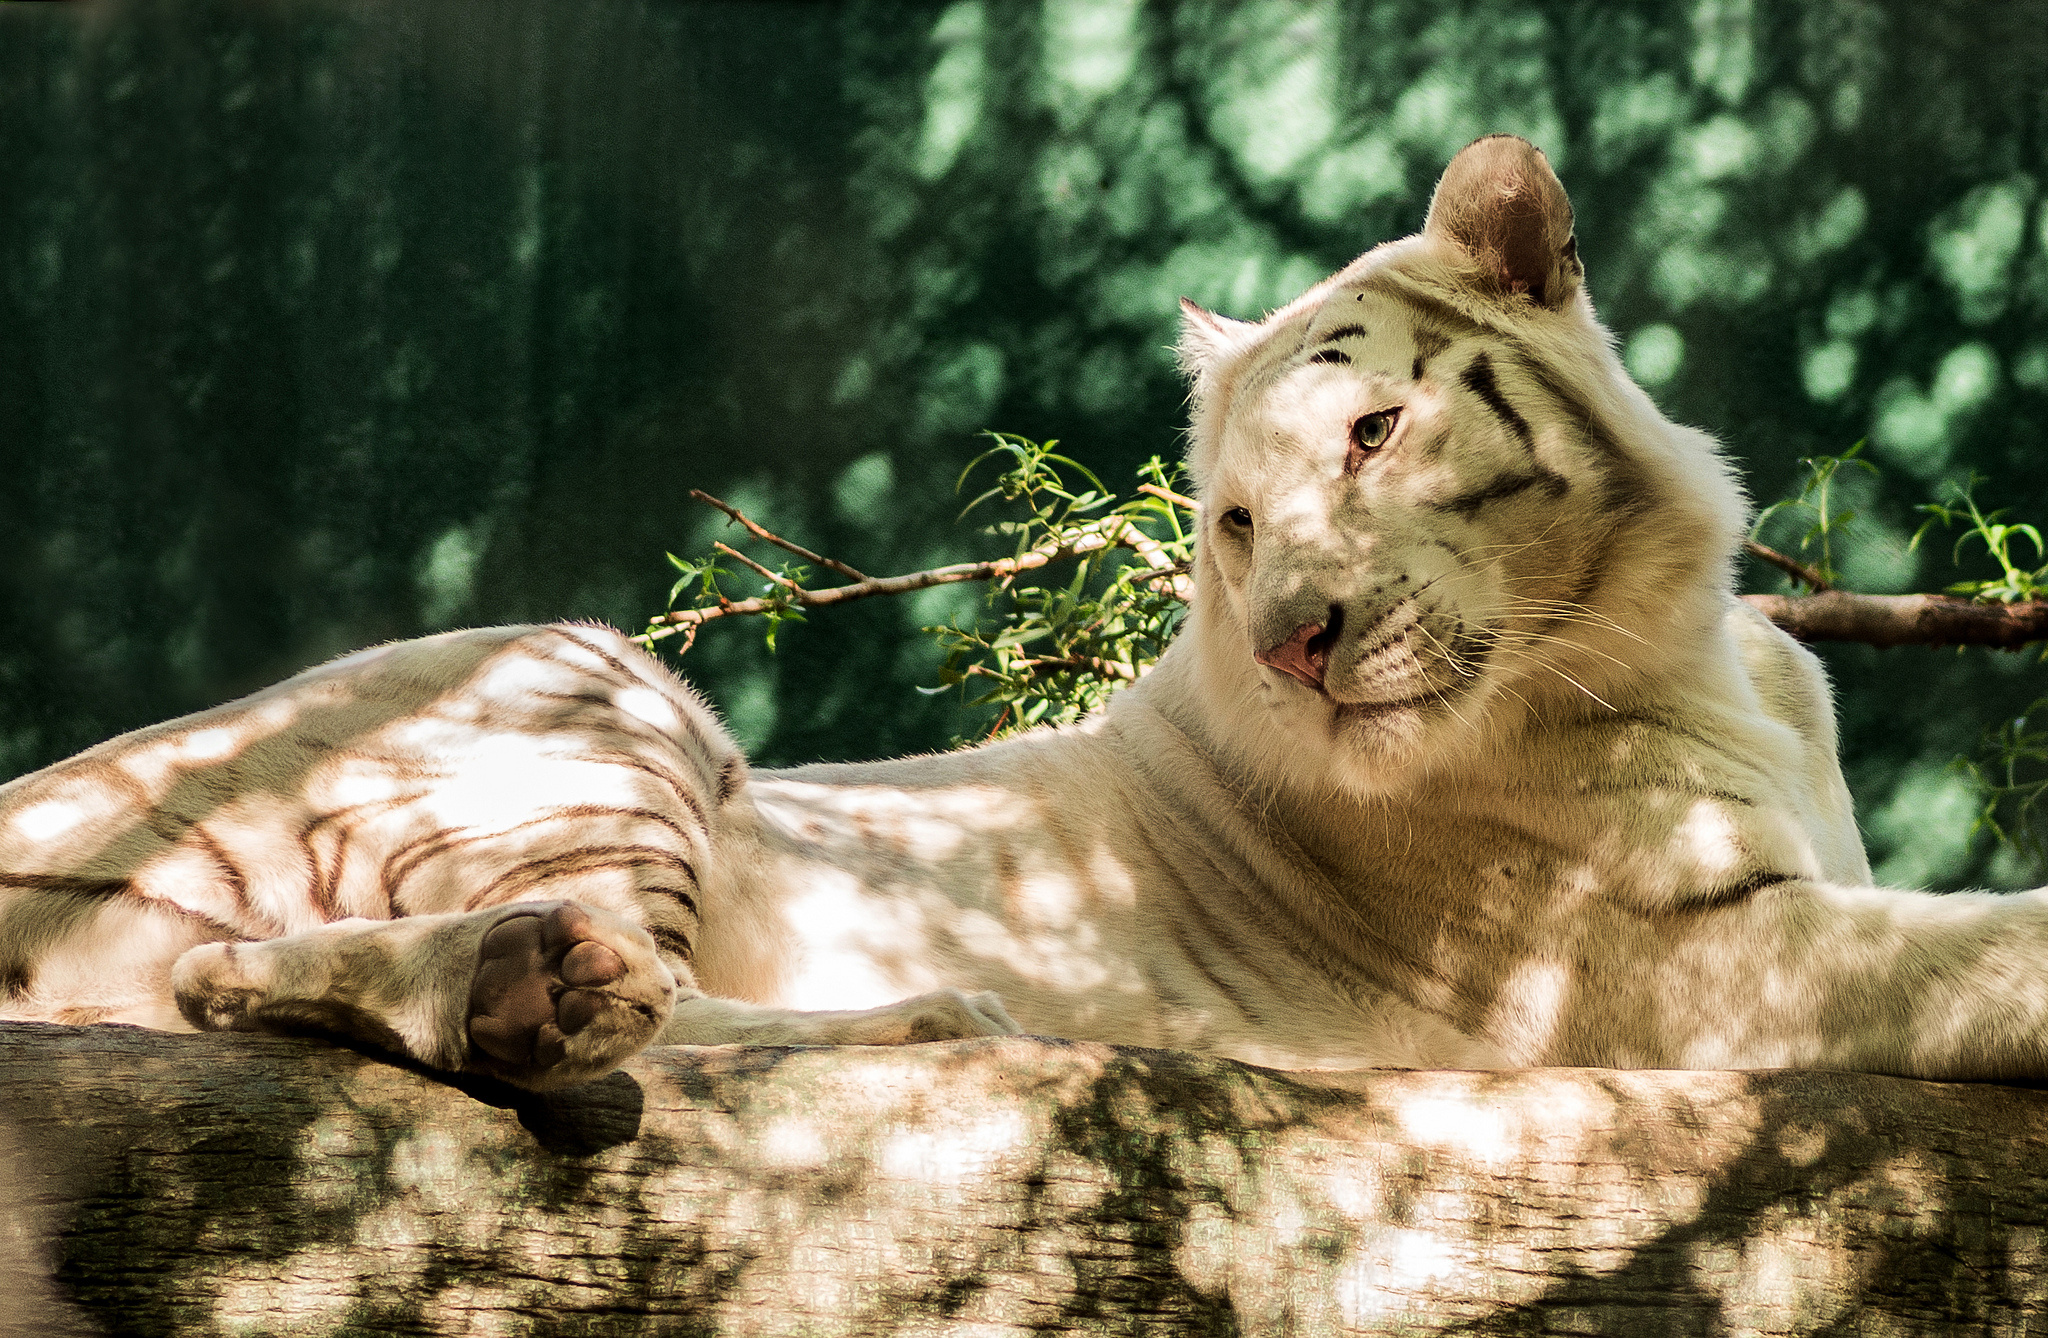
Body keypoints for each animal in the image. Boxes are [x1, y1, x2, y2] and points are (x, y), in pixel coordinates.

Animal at [4, 138, 2048, 1081]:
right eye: (1235, 523)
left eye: (1375, 431)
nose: (1294, 637)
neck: (1690, 632)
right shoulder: (1684, 953)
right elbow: (1979, 950)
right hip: (592, 683)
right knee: (654, 999)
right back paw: (928, 1014)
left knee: (222, 980)